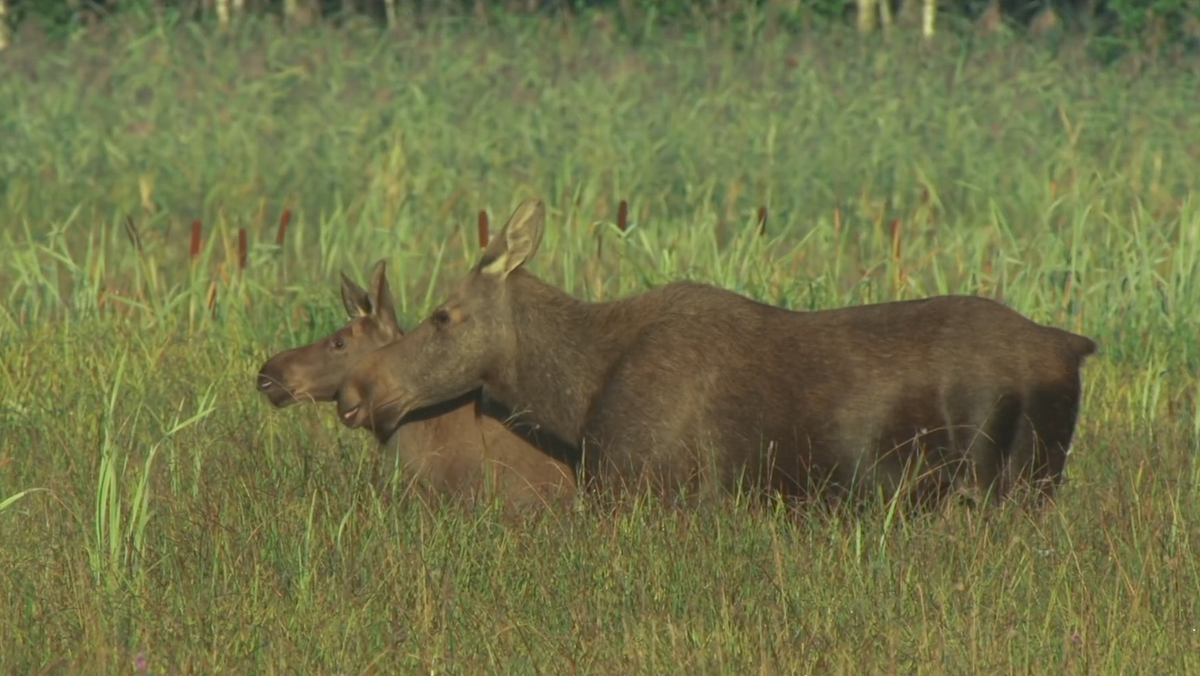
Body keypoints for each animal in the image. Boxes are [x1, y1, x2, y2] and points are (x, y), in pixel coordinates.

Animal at [333, 200, 1099, 513]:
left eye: (443, 315)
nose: (356, 392)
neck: (577, 394)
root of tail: (1076, 345)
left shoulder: (649, 486)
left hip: (1008, 481)